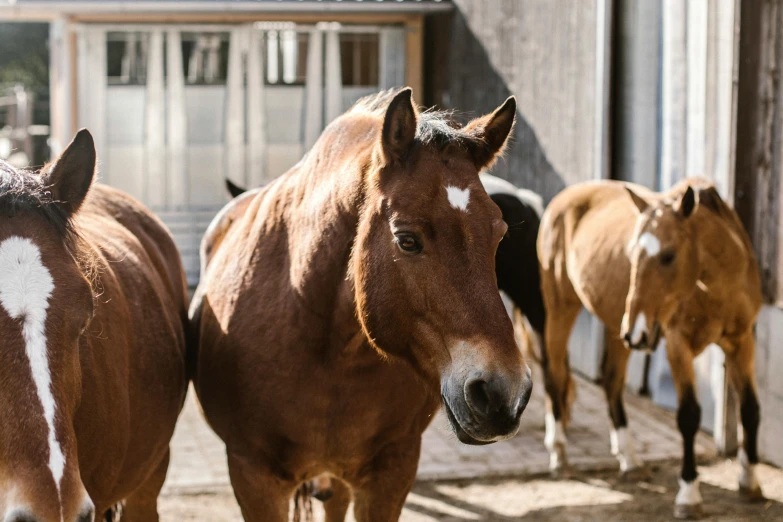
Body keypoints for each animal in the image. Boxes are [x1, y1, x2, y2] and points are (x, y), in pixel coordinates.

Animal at [188, 87, 540, 516]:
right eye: (406, 239)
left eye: (499, 234)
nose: (504, 393)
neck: (328, 351)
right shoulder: (253, 479)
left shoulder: (391, 474)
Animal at [540, 178, 764, 516]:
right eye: (632, 254)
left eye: (668, 256)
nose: (638, 332)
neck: (718, 283)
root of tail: (566, 196)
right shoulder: (678, 346)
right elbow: (688, 416)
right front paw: (689, 494)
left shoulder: (741, 342)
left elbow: (750, 409)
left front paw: (749, 482)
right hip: (565, 308)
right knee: (554, 374)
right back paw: (558, 455)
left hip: (616, 326)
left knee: (612, 381)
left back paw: (630, 461)